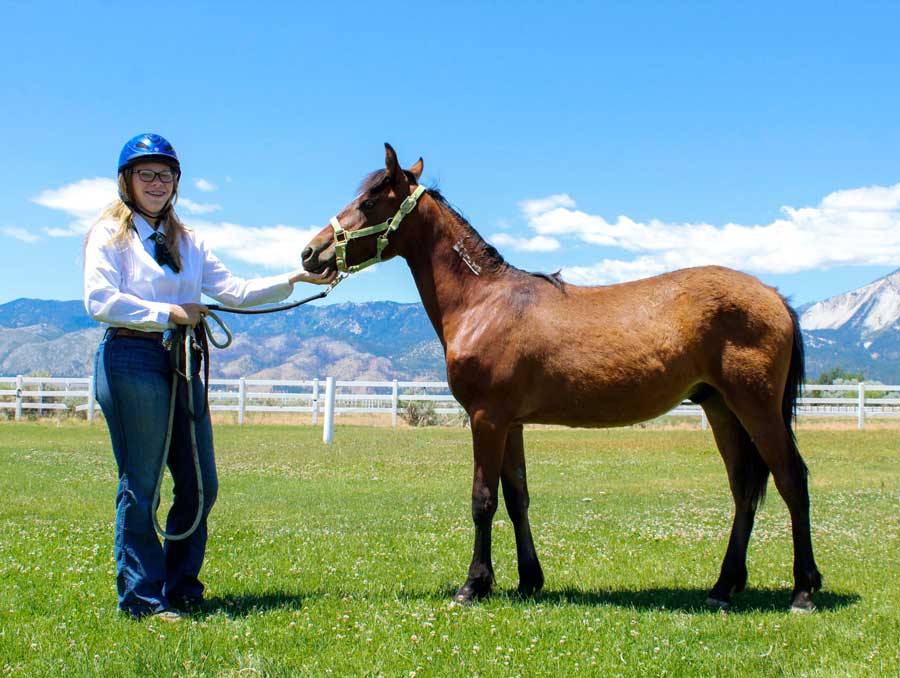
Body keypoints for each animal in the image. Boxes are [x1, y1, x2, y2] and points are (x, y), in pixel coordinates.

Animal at [302, 142, 824, 612]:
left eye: (370, 201)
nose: (311, 252)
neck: (483, 301)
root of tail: (774, 296)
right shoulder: (510, 423)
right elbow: (517, 497)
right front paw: (527, 581)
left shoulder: (486, 418)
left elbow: (483, 499)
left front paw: (473, 585)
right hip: (720, 408)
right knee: (744, 489)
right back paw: (723, 586)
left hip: (756, 408)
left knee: (791, 479)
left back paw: (802, 590)